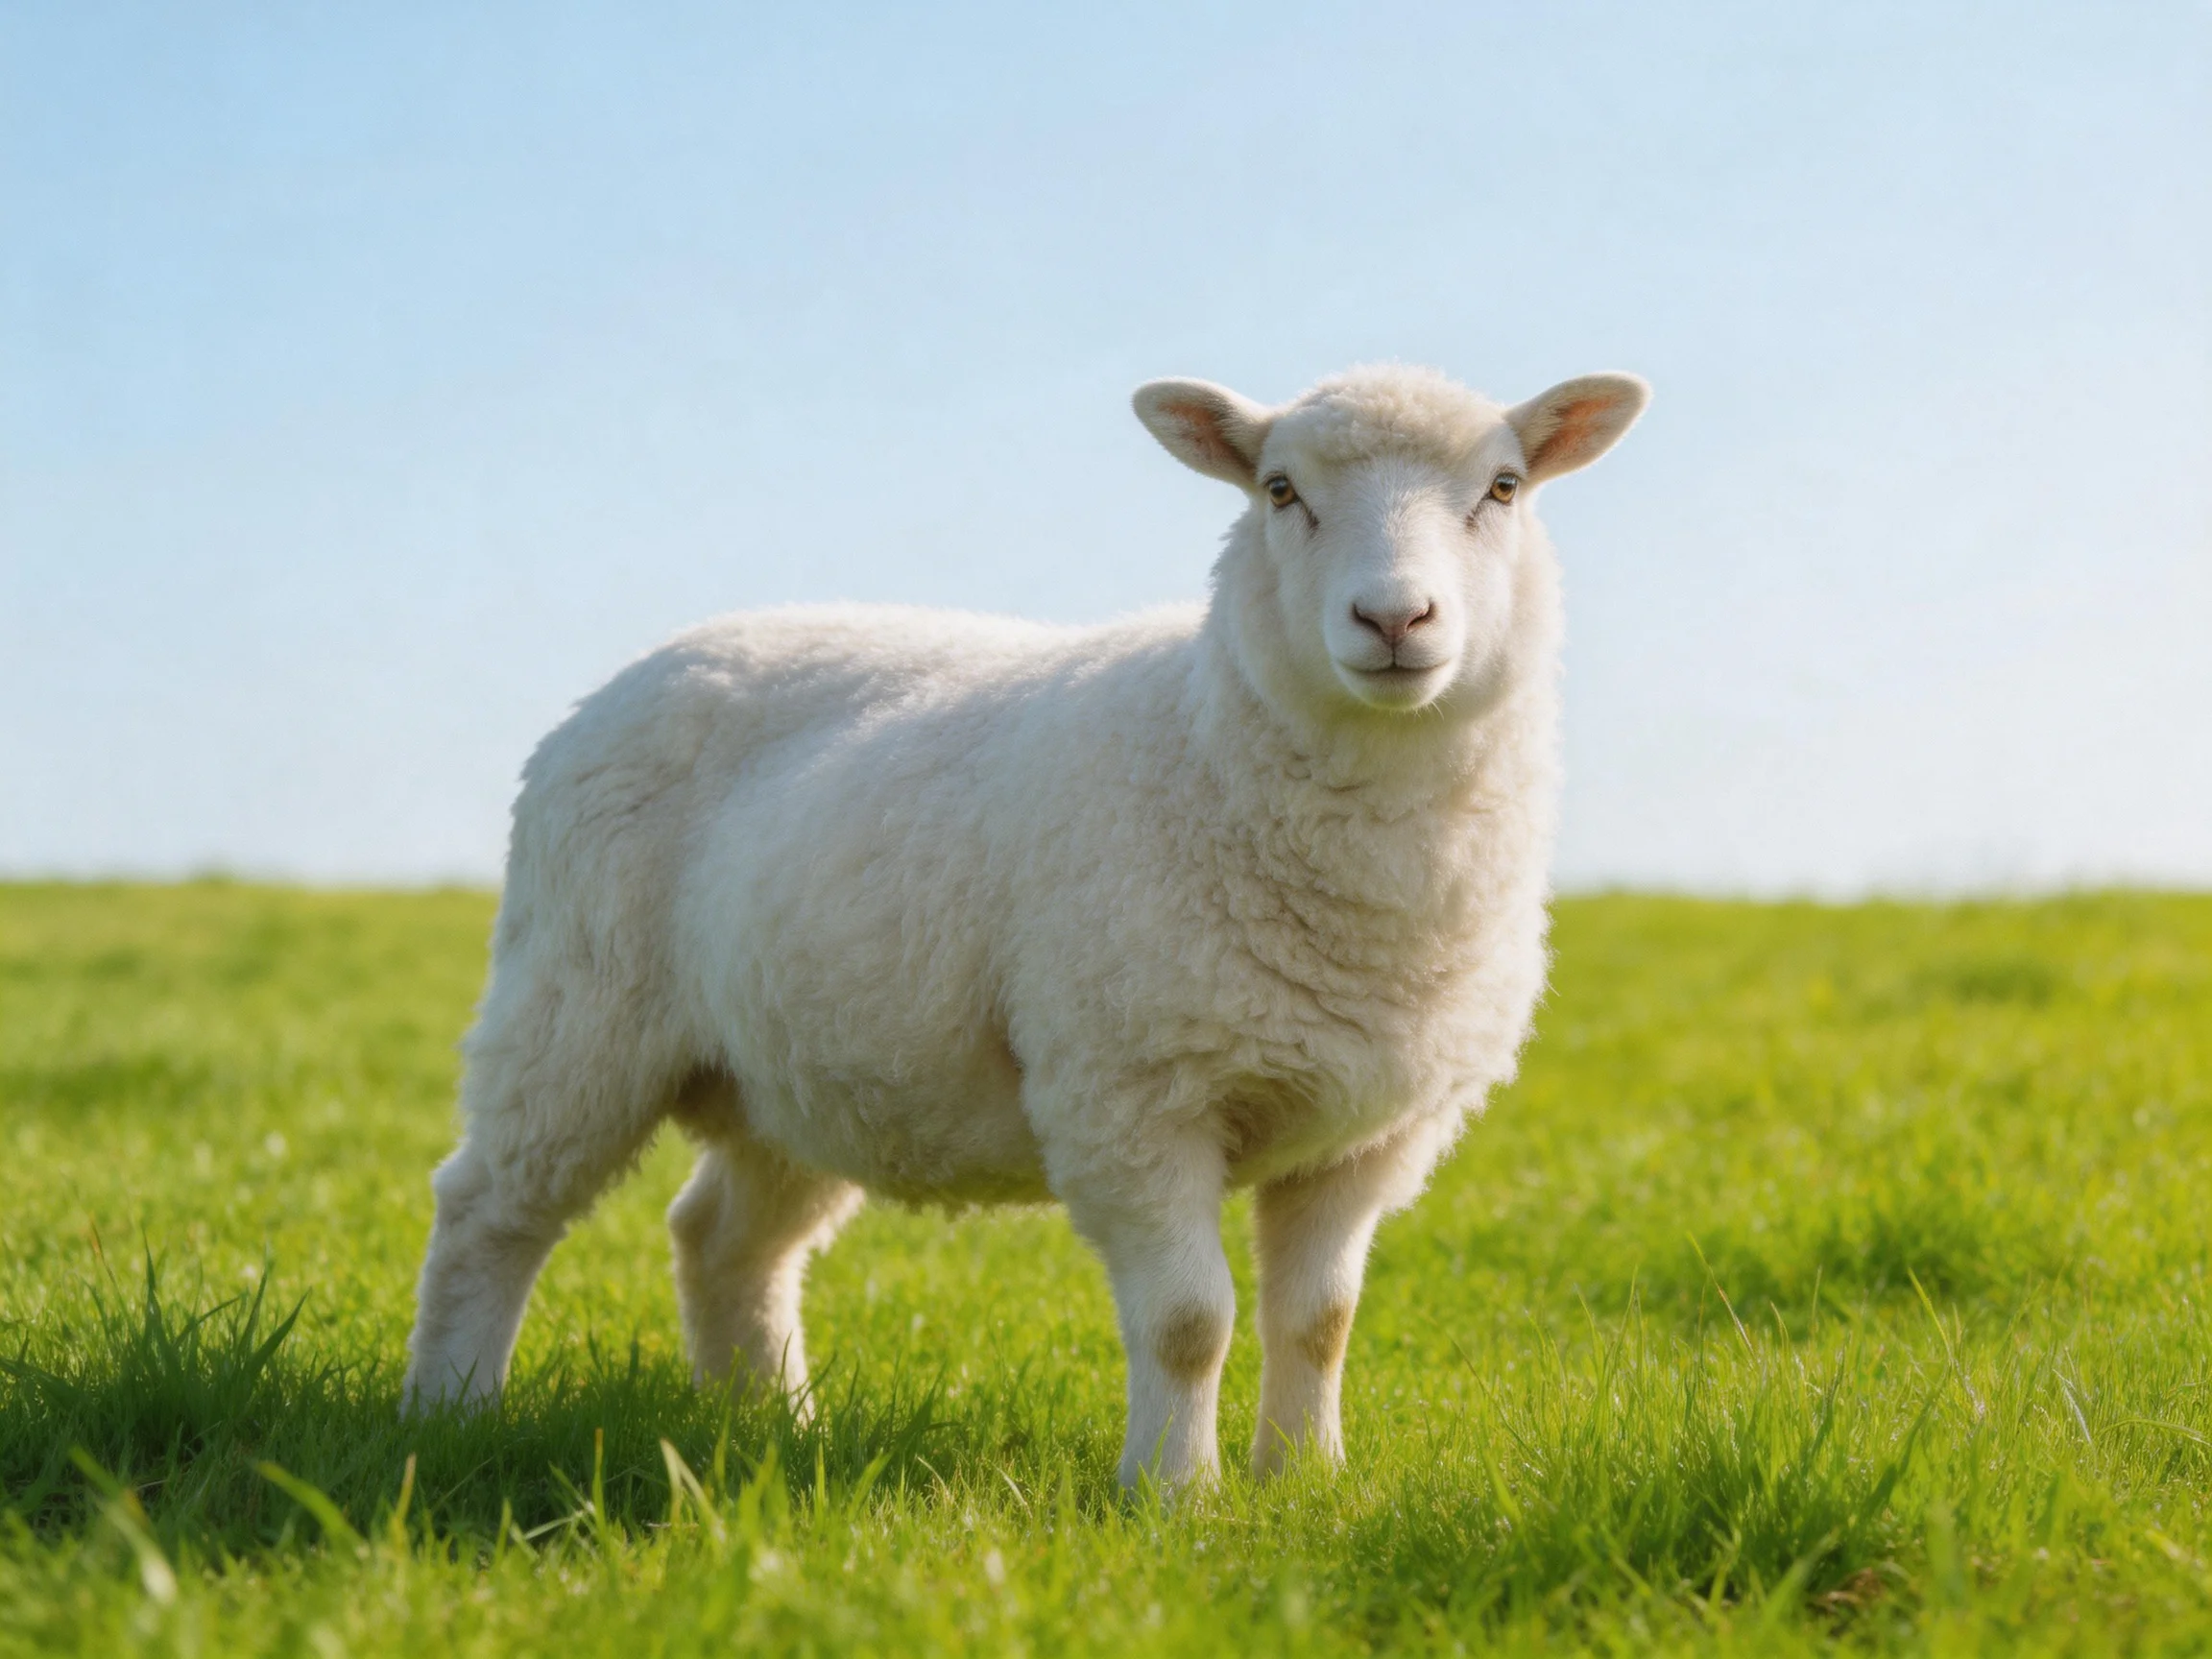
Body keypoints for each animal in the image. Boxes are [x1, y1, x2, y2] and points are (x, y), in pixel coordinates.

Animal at [402, 362, 1649, 1489]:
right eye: (1280, 490)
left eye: (1503, 486)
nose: (1394, 617)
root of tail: (648, 664)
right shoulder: (1130, 1095)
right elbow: (1190, 1321)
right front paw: (1175, 1496)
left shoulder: (1369, 1132)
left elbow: (1320, 1322)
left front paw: (1306, 1484)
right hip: (576, 1008)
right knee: (488, 1210)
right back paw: (451, 1412)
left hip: (798, 1067)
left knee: (724, 1240)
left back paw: (768, 1426)